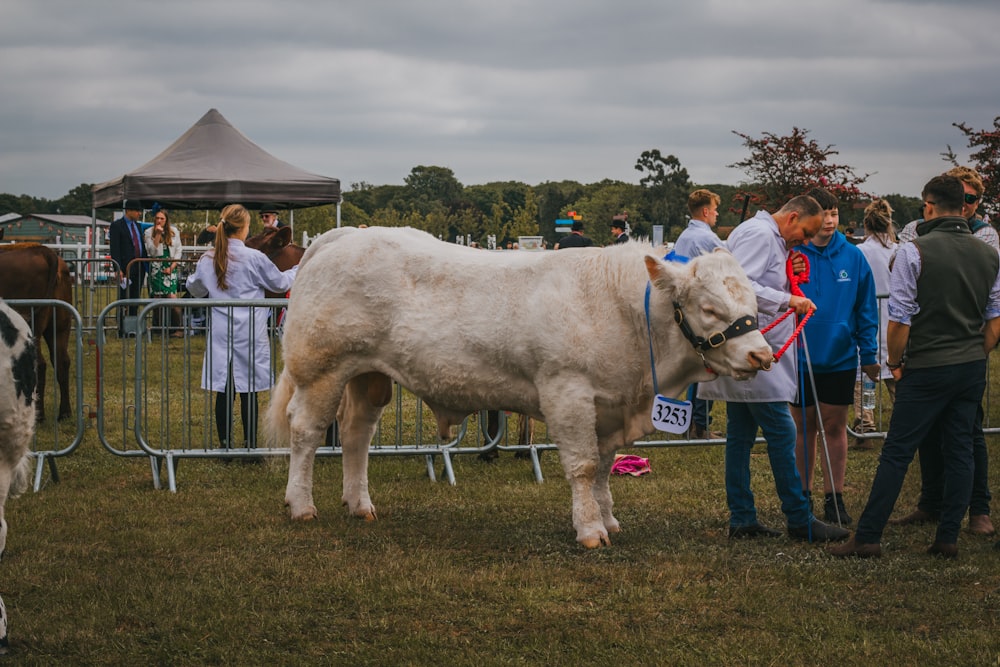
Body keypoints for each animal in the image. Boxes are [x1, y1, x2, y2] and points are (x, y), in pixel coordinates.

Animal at [0, 244, 73, 422]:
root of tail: (44, 251)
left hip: (33, 323)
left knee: (39, 364)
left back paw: (39, 414)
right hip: (61, 324)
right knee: (62, 361)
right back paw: (65, 413)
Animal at [268, 228, 772, 548]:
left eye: (753, 301)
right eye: (709, 308)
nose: (762, 356)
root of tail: (342, 236)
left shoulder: (609, 404)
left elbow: (605, 467)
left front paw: (608, 518)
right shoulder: (567, 391)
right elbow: (584, 467)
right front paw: (590, 531)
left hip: (368, 376)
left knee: (357, 434)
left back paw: (360, 505)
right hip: (322, 369)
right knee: (307, 431)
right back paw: (301, 504)